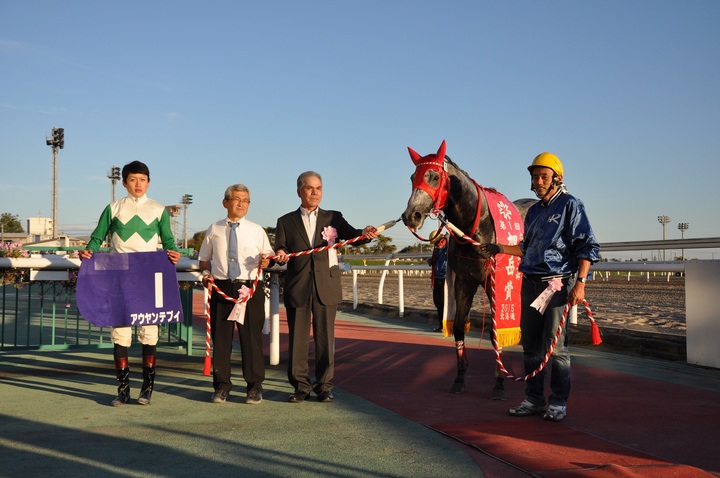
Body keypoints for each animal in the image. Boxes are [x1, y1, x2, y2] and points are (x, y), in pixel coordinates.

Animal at [401, 140, 535, 398]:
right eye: (413, 177)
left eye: (434, 177)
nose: (411, 215)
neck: (478, 226)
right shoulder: (463, 282)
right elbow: (459, 328)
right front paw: (459, 378)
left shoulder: (496, 284)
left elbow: (496, 333)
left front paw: (499, 383)